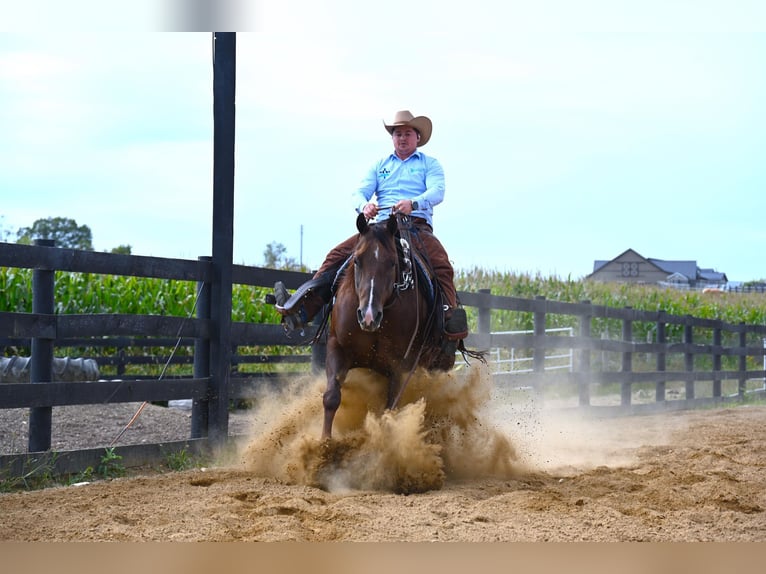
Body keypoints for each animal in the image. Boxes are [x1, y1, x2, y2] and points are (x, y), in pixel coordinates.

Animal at [320, 213, 464, 440]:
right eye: (357, 260)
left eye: (391, 263)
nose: (368, 315)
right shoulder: (337, 347)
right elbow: (332, 397)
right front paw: (324, 443)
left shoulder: (399, 366)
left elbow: (390, 410)